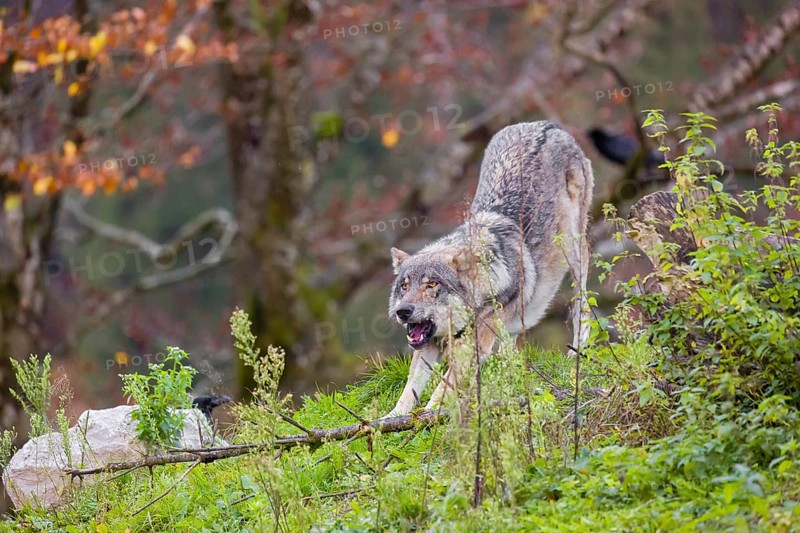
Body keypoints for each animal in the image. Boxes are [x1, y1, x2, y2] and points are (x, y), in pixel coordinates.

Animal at [386, 121, 594, 417]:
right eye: (404, 286)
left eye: (432, 284)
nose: (403, 311)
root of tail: (546, 125)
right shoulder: (429, 345)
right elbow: (409, 389)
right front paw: (391, 419)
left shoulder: (474, 348)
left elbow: (444, 387)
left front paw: (432, 413)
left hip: (574, 252)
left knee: (581, 309)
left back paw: (575, 353)